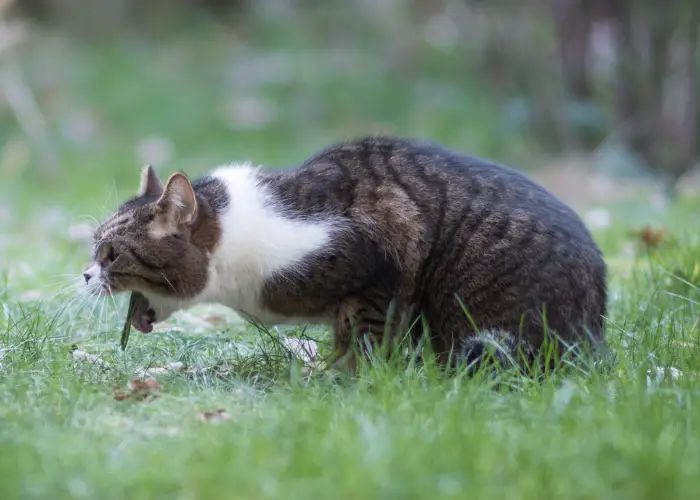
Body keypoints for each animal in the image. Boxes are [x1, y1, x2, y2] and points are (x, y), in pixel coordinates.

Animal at [83, 137, 608, 376]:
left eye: (110, 253)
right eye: (94, 247)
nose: (86, 274)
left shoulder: (378, 264)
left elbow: (365, 339)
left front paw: (345, 380)